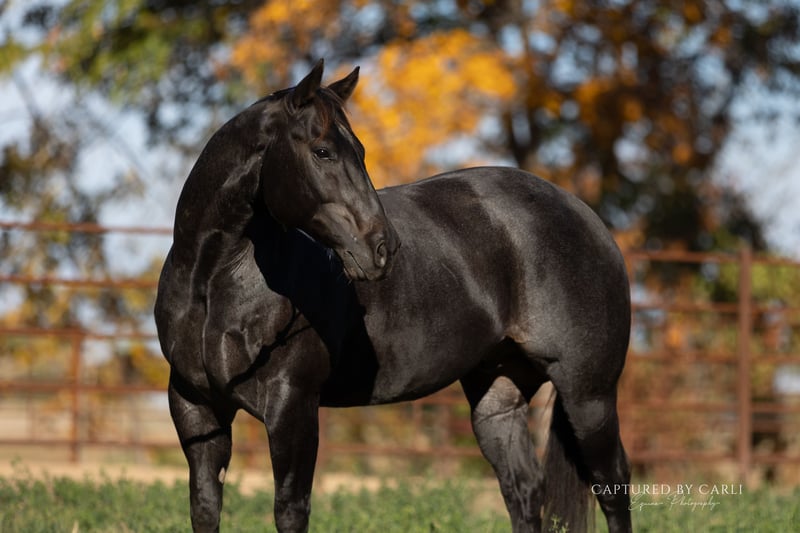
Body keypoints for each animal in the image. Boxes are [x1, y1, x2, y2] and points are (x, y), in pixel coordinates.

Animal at [155, 60, 632, 533]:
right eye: (322, 151)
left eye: (361, 152)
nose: (383, 248)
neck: (213, 283)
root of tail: (585, 215)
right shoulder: (196, 406)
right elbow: (205, 506)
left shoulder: (293, 408)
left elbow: (290, 510)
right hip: (498, 398)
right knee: (524, 489)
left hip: (588, 395)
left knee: (613, 484)